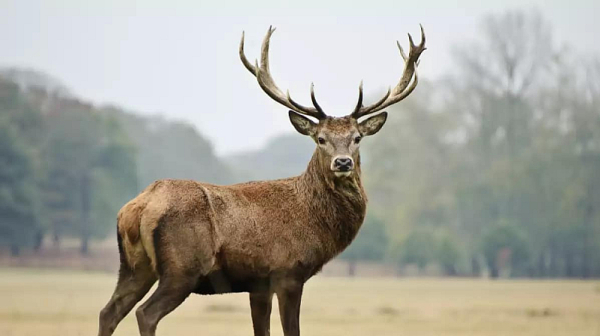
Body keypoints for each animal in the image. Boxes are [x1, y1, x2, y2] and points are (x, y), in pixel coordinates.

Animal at [98, 25, 424, 334]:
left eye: (357, 138)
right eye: (320, 138)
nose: (342, 162)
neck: (314, 221)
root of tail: (138, 207)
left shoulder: (258, 284)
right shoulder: (287, 272)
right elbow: (292, 330)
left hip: (134, 266)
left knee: (108, 312)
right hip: (182, 267)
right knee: (145, 313)